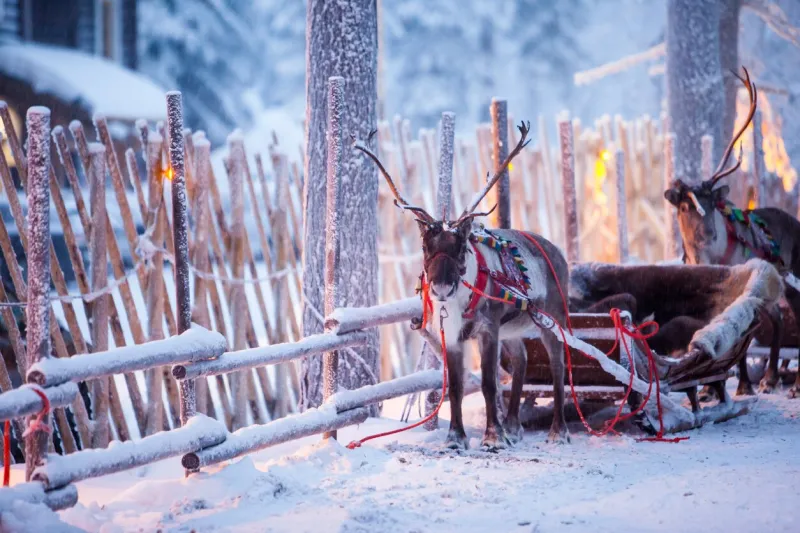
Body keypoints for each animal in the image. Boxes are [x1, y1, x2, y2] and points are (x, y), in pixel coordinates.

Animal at [354, 122, 572, 450]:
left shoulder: (488, 329)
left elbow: (488, 383)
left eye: (460, 247)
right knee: (521, 358)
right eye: (425, 246)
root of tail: (557, 252)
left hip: (552, 318)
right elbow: (455, 386)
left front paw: (493, 437)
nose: (441, 289)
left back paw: (558, 430)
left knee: (558, 365)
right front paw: (456, 437)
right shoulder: (453, 336)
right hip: (512, 327)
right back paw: (513, 426)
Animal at [664, 66, 800, 399]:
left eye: (713, 203)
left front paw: (740, 385)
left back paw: (789, 384)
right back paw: (770, 377)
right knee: (778, 319)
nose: (707, 235)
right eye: (685, 206)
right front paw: (709, 388)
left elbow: (740, 339)